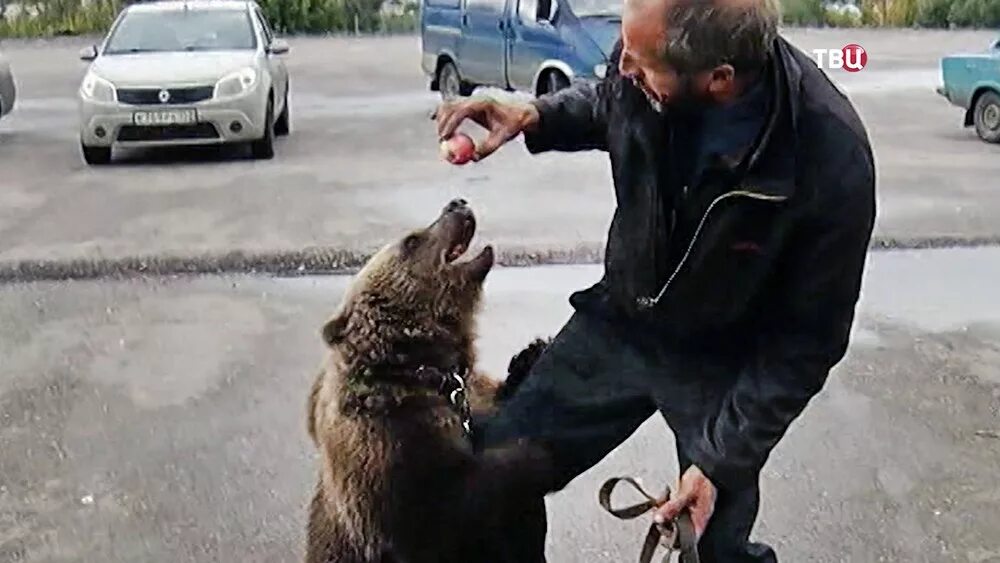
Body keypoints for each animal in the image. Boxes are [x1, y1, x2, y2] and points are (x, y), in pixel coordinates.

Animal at [304, 198, 556, 563]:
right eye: (411, 240)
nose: (457, 203)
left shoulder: (469, 393)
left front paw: (531, 353)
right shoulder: (389, 445)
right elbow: (439, 512)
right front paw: (534, 454)